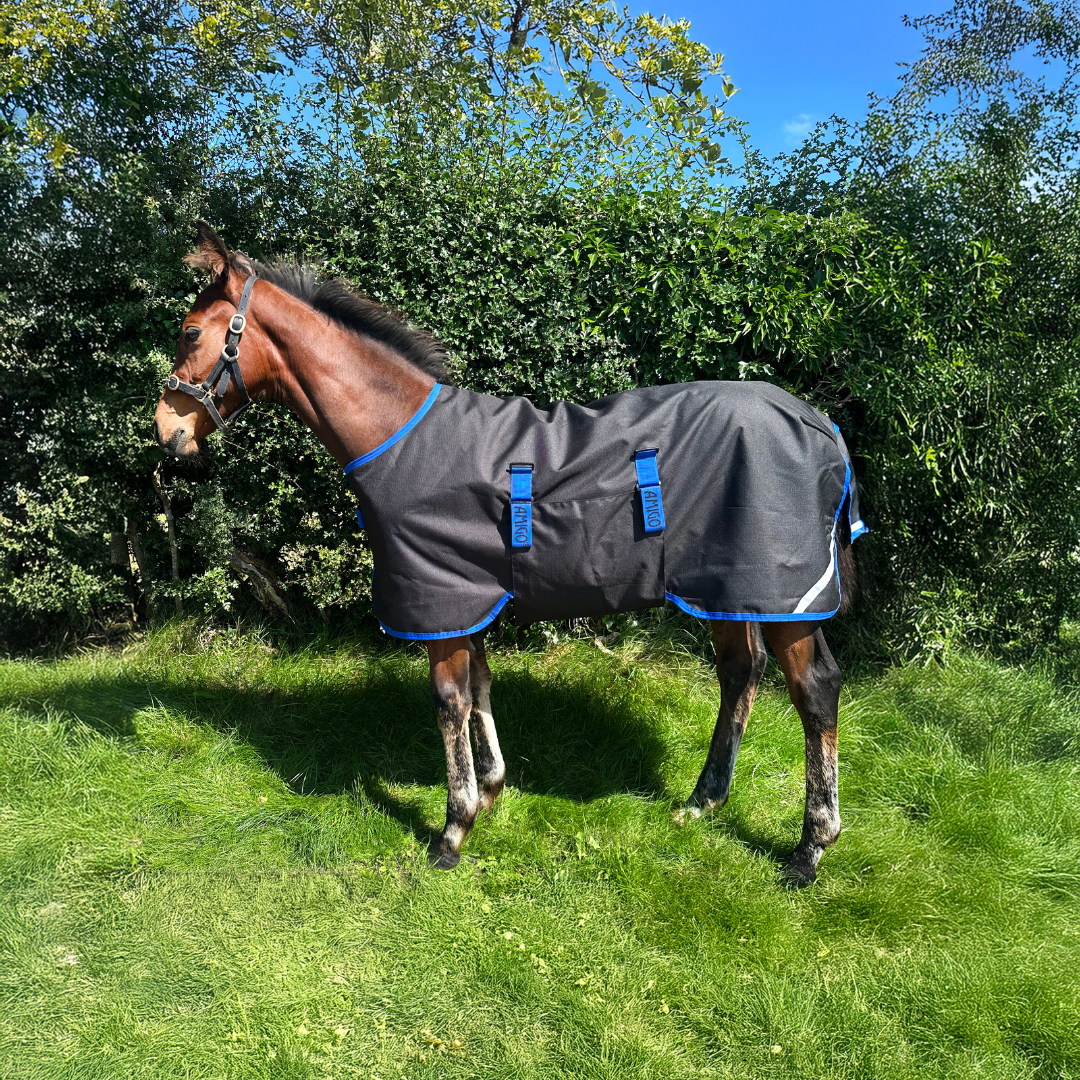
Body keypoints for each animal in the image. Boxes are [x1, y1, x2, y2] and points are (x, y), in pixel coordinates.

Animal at [154, 221, 863, 884]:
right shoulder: (466, 596)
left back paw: (810, 848)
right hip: (728, 589)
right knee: (741, 673)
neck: (400, 434)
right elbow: (480, 684)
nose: (166, 431)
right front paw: (492, 790)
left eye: (190, 333)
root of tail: (819, 423)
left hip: (783, 595)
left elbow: (450, 700)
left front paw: (453, 828)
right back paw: (702, 802)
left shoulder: (439, 600)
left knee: (815, 690)